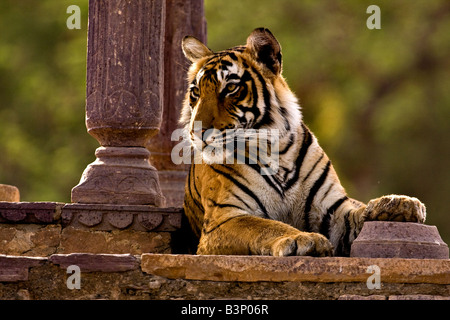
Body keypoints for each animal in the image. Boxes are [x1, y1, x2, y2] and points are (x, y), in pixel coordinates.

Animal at [179, 27, 426, 258]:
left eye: (230, 88)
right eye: (196, 92)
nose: (196, 131)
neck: (273, 151)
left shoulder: (332, 211)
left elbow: (357, 214)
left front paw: (400, 203)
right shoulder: (224, 218)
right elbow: (265, 226)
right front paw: (304, 239)